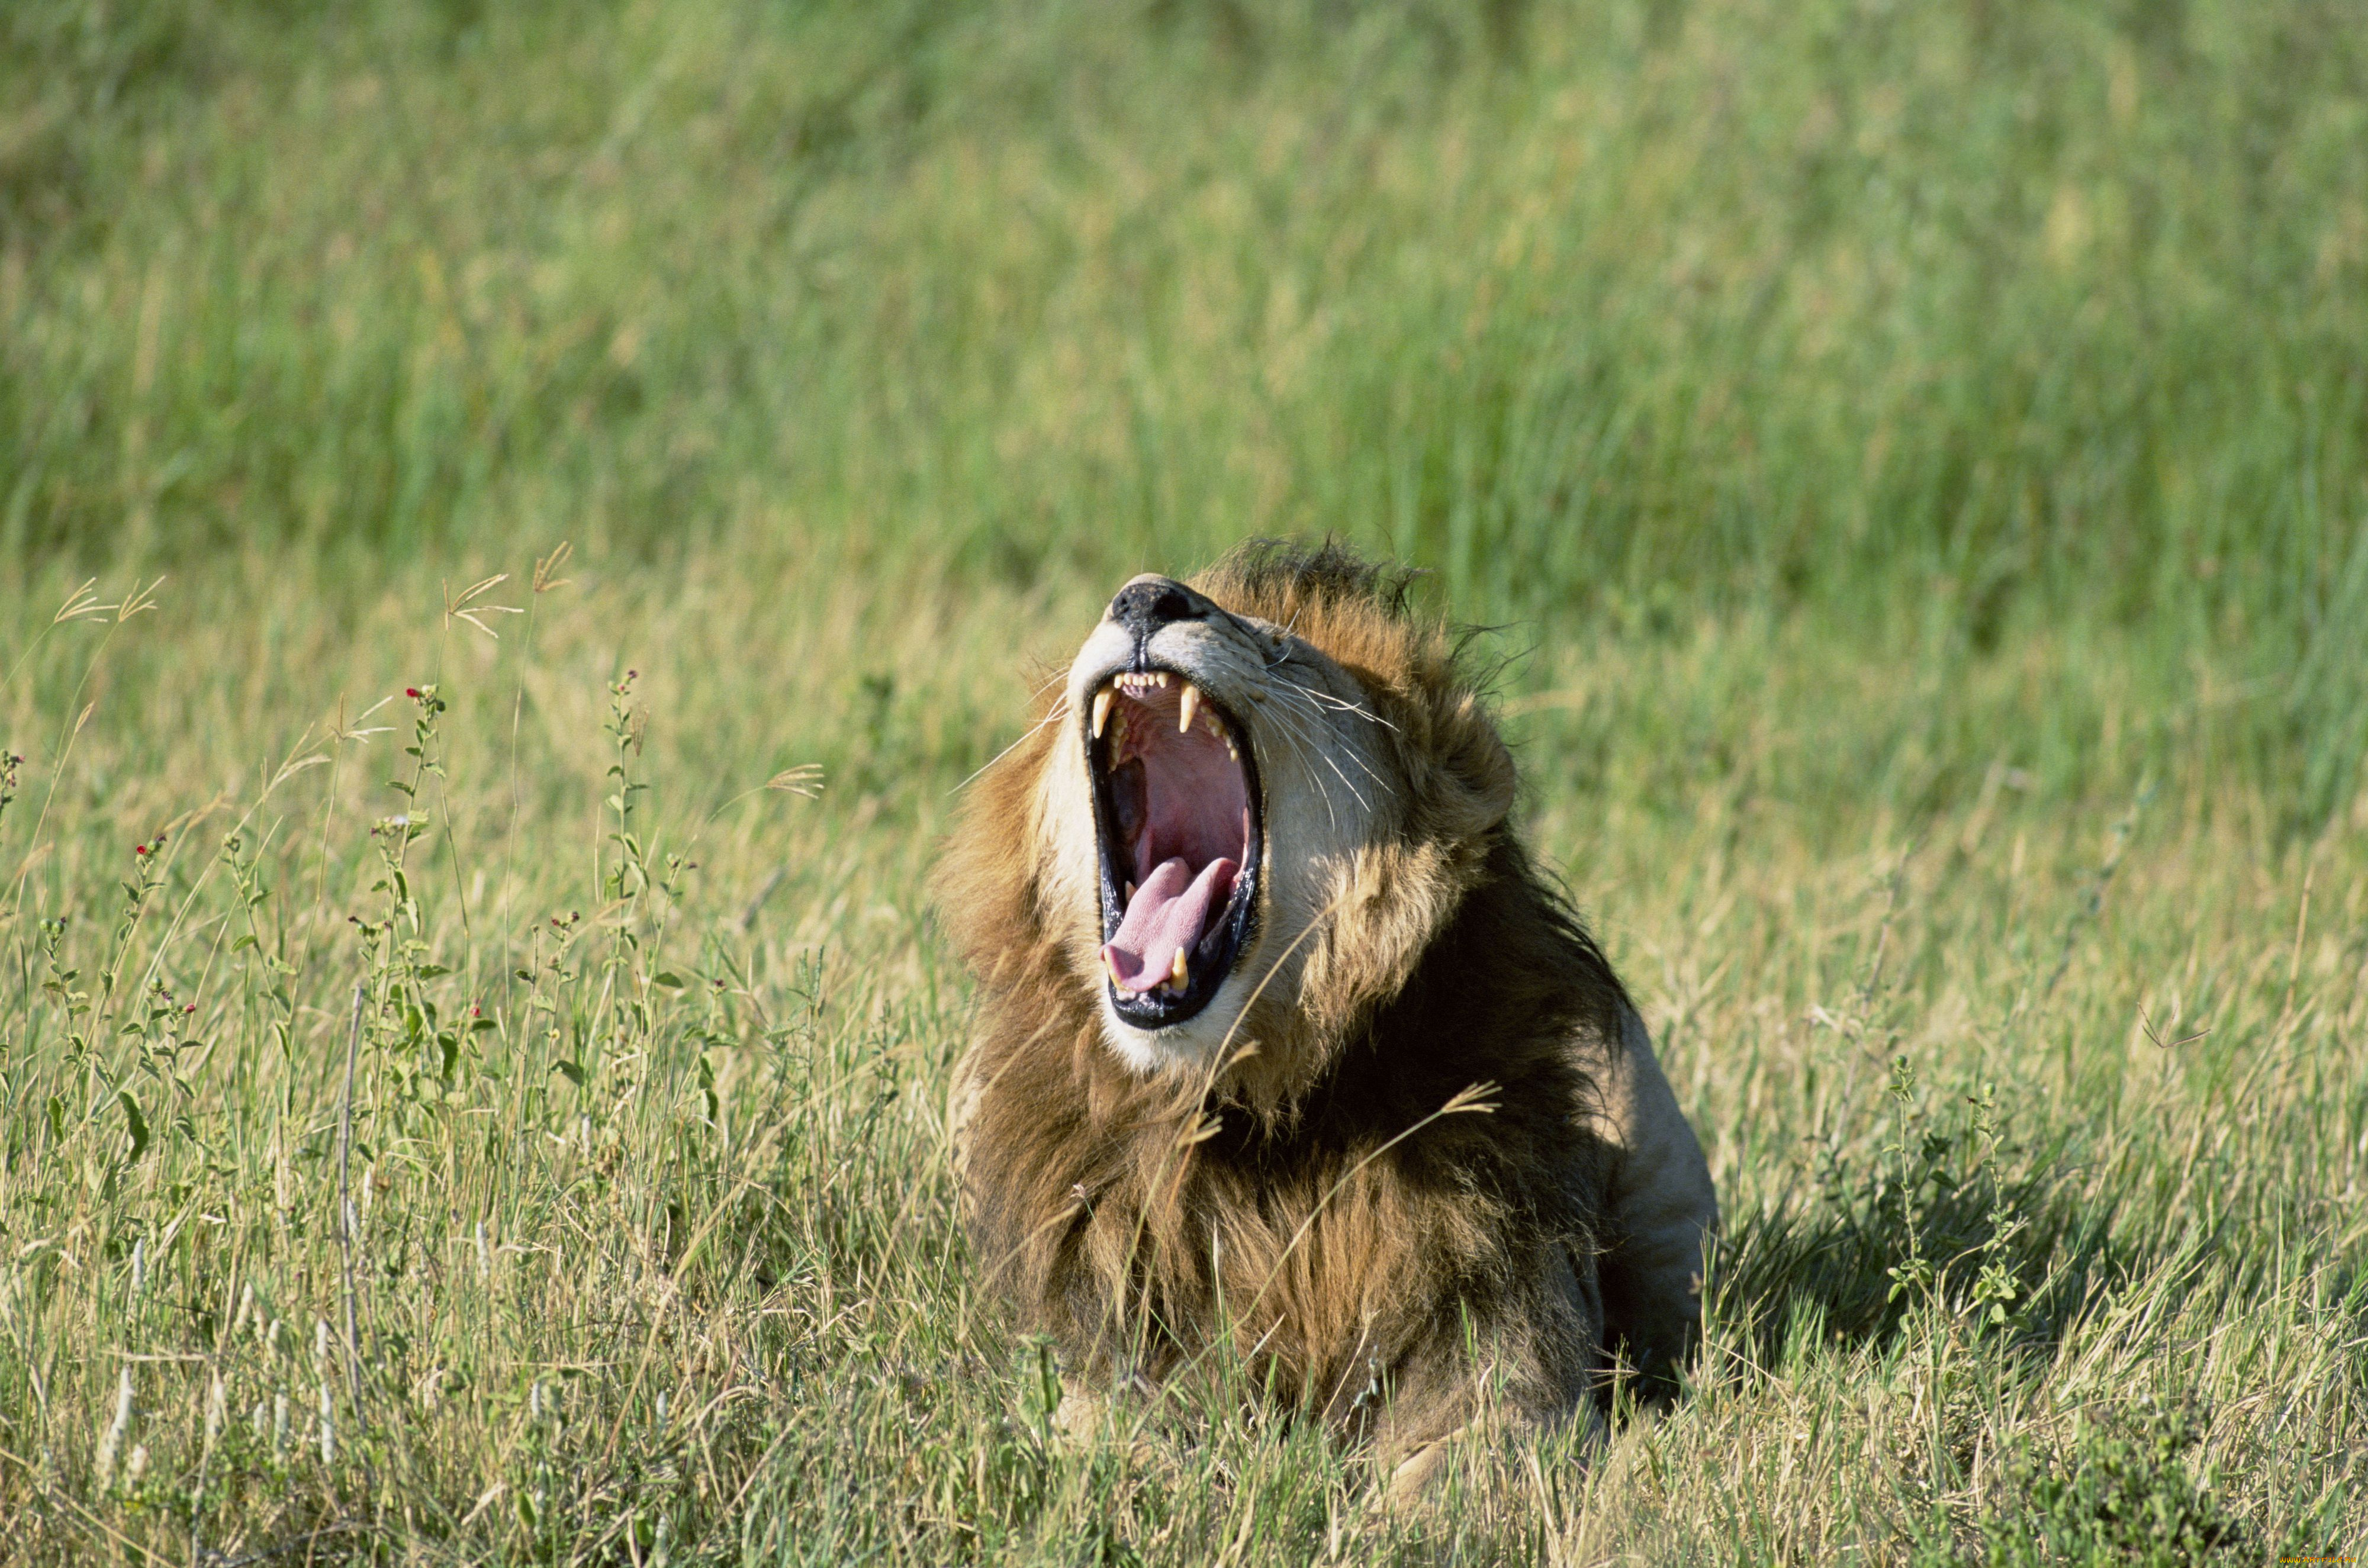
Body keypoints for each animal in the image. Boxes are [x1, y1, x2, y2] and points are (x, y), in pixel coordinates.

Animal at [942, 540, 1724, 1496]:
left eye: (1283, 651)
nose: (1144, 598)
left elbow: (1451, 1483)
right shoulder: (1102, 1355)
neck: (1253, 1116)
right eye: (1120, 602)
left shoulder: (1521, 1362)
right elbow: (1112, 1445)